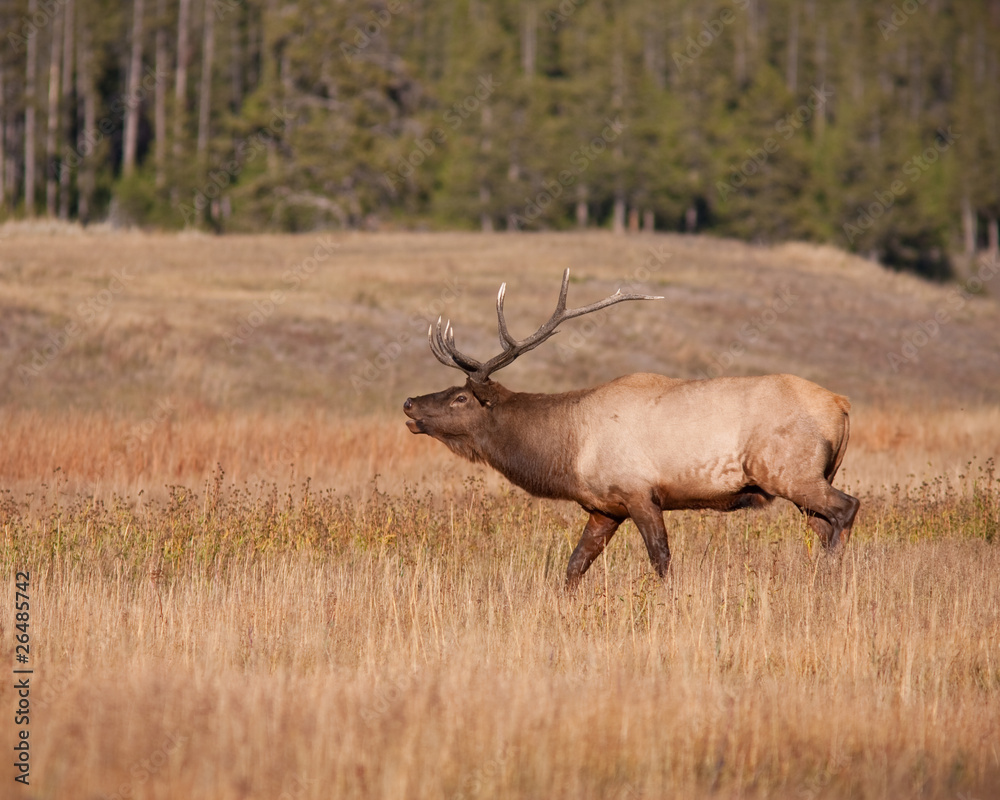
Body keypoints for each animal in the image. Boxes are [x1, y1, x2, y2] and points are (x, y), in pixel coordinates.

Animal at [404, 272, 860, 592]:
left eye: (461, 398)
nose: (409, 403)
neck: (568, 450)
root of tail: (842, 404)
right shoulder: (604, 507)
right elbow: (573, 567)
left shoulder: (639, 492)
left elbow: (661, 560)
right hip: (807, 479)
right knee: (824, 525)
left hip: (791, 472)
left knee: (847, 508)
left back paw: (831, 580)